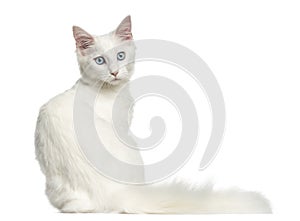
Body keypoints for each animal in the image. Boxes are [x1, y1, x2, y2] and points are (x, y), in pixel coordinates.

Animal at [35, 16, 272, 214]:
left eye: (121, 56)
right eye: (100, 61)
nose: (115, 73)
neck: (109, 91)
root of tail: (113, 194)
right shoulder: (123, 124)